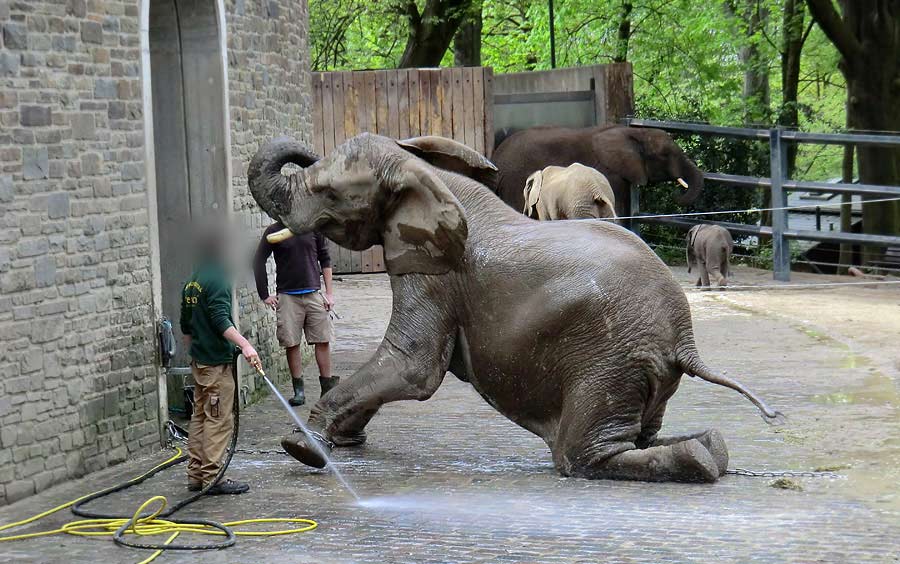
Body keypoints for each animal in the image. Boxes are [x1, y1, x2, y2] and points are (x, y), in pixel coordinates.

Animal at [488, 124, 708, 215]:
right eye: (664, 155)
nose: (675, 194)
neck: (636, 131)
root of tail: (496, 156)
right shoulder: (612, 173)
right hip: (515, 180)